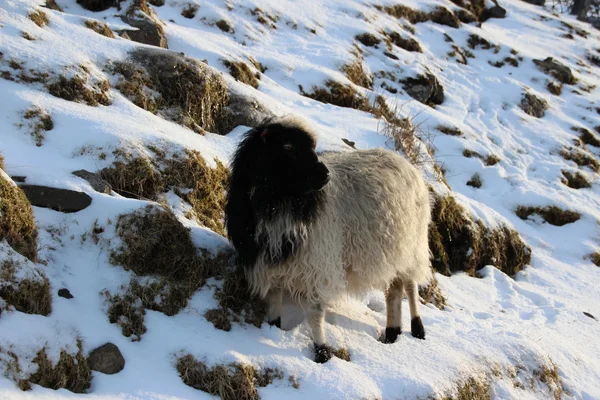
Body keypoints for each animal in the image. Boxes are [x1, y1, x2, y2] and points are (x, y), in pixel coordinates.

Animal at [225, 115, 432, 362]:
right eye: (287, 147)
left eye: (313, 147)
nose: (325, 175)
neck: (279, 203)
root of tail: (406, 163)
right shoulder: (273, 264)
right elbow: (274, 300)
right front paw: (274, 328)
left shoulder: (317, 265)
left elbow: (315, 313)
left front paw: (322, 351)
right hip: (392, 250)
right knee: (394, 288)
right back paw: (392, 333)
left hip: (413, 244)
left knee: (410, 285)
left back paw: (418, 328)